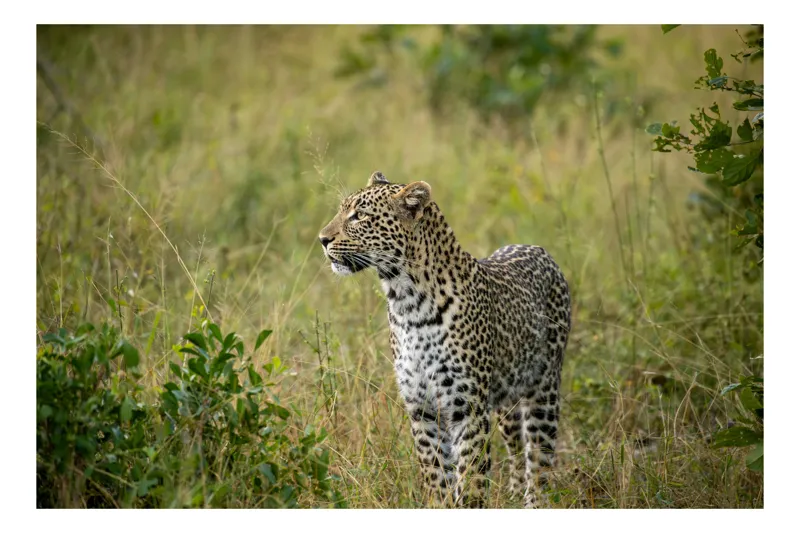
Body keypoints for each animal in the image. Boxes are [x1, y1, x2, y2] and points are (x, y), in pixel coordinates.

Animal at [318, 171, 571, 508]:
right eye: (343, 210)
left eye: (360, 216)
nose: (322, 239)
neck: (406, 303)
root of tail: (539, 250)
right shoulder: (422, 408)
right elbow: (436, 474)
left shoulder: (468, 408)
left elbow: (472, 478)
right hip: (506, 399)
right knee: (517, 449)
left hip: (543, 389)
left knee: (540, 459)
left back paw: (535, 501)